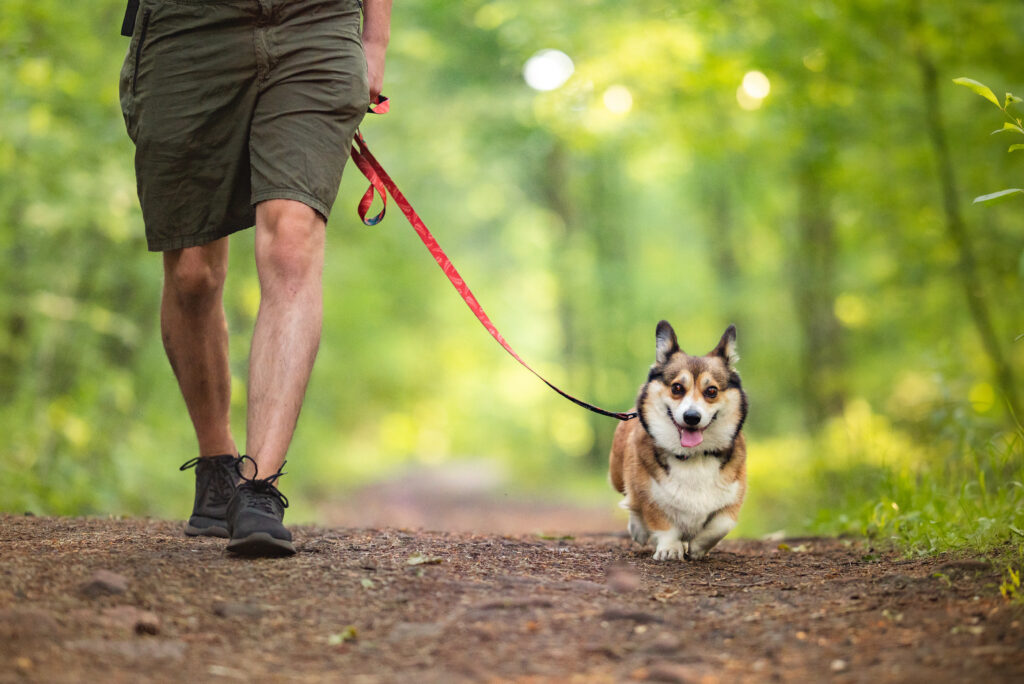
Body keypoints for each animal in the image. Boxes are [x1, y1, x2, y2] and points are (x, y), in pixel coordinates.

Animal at [606, 321, 745, 561]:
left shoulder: (734, 495)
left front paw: (698, 547)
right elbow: (660, 521)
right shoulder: (649, 494)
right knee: (630, 499)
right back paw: (639, 530)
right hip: (617, 474)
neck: (694, 456)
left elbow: (721, 525)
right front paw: (670, 548)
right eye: (677, 388)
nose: (692, 417)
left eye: (711, 391)